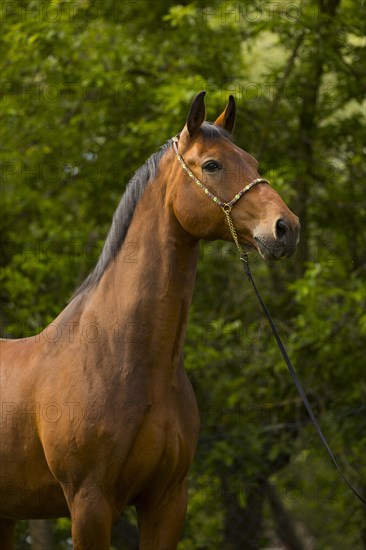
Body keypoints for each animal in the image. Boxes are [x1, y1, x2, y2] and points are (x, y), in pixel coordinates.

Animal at [0, 92, 300, 548]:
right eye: (212, 165)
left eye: (252, 161)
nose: (286, 228)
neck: (124, 358)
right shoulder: (90, 504)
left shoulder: (167, 502)